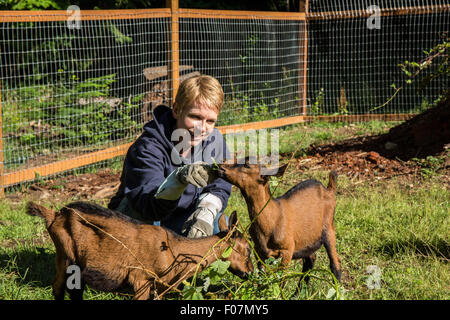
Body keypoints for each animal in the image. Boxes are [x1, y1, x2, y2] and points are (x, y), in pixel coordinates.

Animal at [25, 201, 253, 298]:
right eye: (248, 249)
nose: (250, 272)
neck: (173, 249)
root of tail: (54, 215)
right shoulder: (140, 280)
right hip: (66, 255)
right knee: (58, 287)